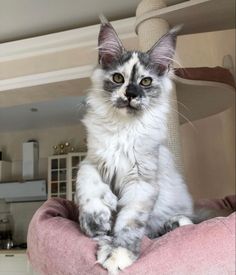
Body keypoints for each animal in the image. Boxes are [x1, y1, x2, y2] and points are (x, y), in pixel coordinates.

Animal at [75, 17, 194, 275]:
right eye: (118, 78)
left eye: (145, 82)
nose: (131, 93)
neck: (123, 130)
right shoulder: (92, 159)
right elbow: (85, 180)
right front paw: (96, 219)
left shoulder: (142, 181)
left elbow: (129, 223)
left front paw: (119, 253)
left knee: (178, 223)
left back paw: (176, 223)